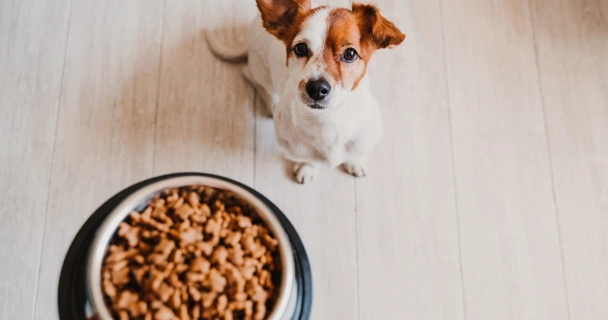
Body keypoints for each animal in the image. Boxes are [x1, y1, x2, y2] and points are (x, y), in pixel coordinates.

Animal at [207, 1, 406, 184]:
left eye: (350, 53)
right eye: (300, 48)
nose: (316, 88)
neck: (327, 120)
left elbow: (356, 152)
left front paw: (355, 161)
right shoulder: (295, 148)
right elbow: (308, 159)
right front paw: (307, 168)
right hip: (260, 72)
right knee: (251, 76)